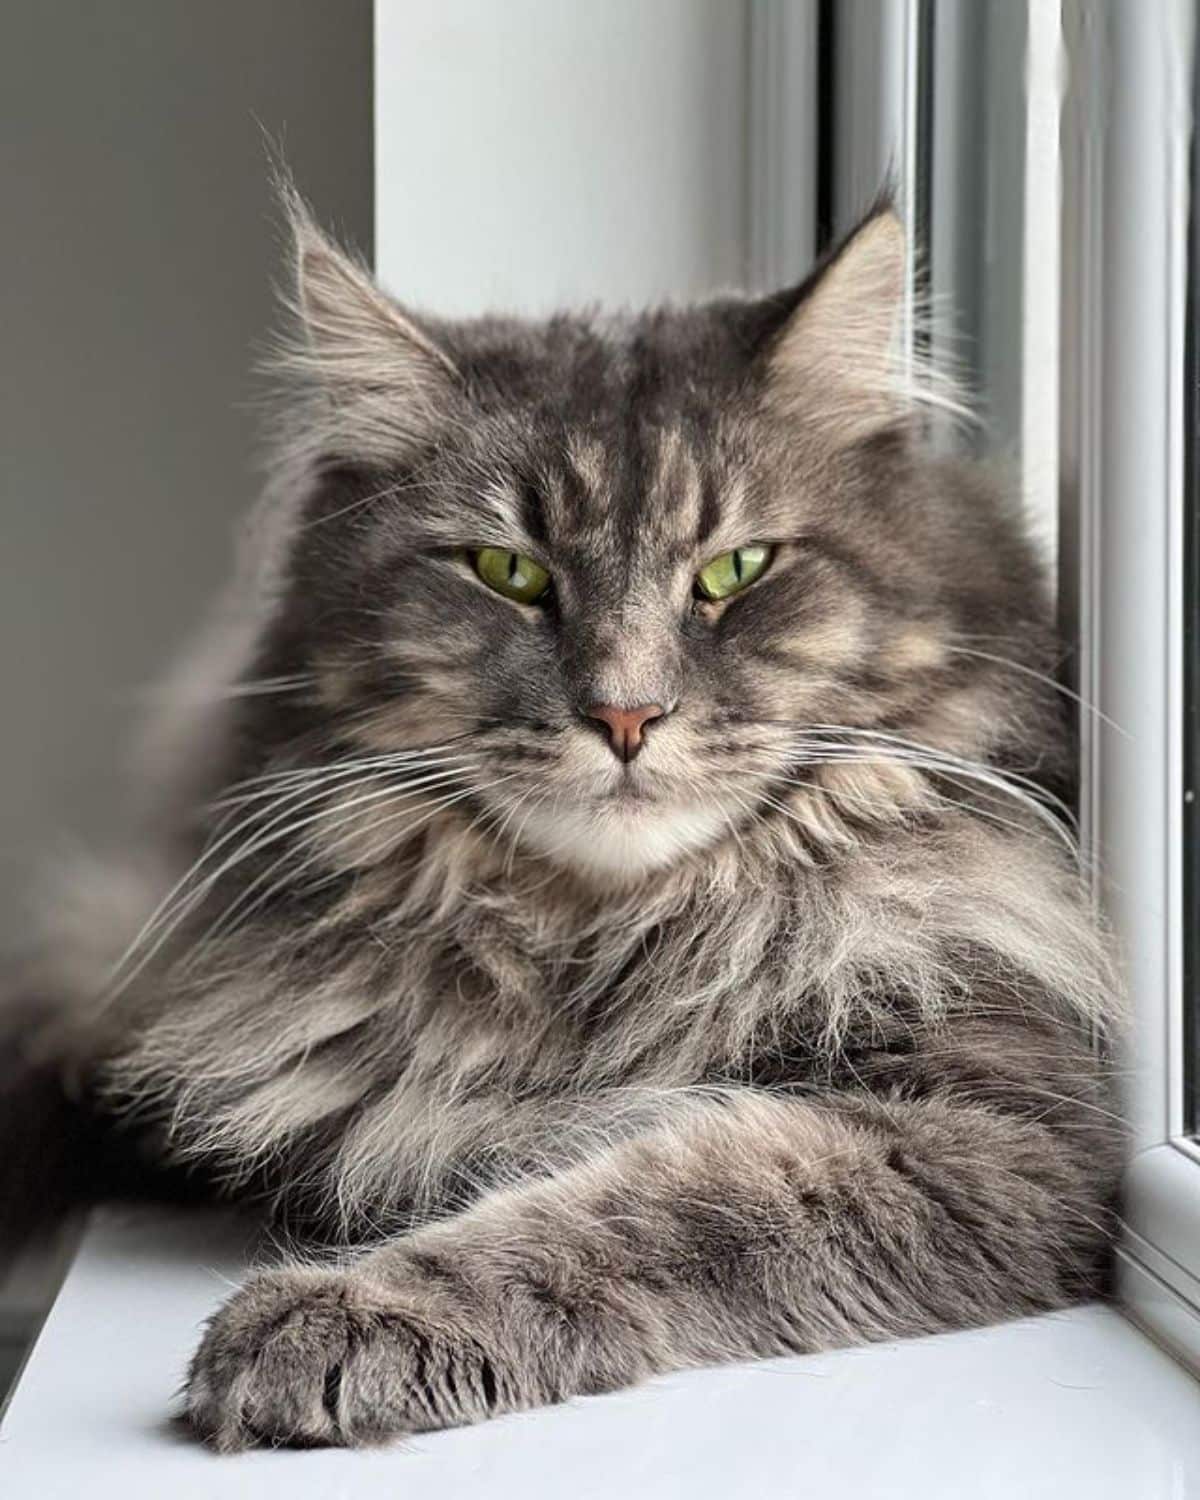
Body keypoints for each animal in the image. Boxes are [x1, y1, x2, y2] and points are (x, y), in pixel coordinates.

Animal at [14, 181, 1128, 1446]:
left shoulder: (990, 1127)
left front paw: (341, 1317)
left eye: (736, 570)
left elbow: (642, 1201)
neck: (606, 948)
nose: (626, 714)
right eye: (509, 573)